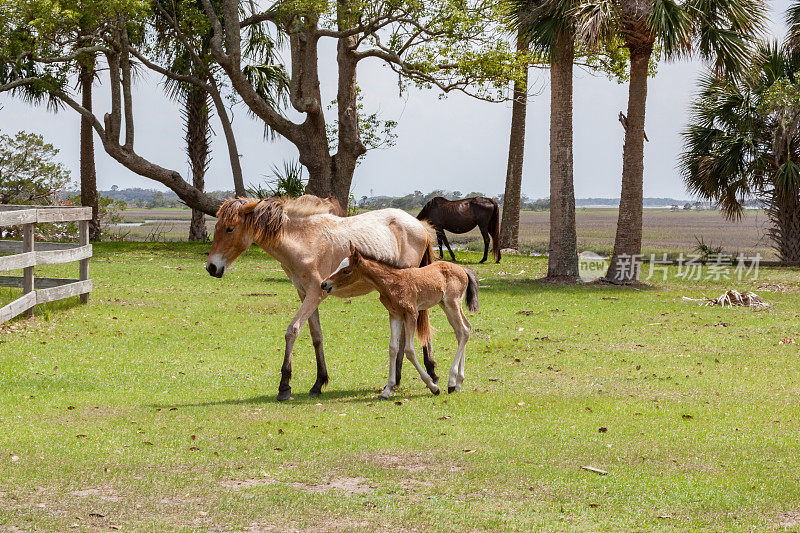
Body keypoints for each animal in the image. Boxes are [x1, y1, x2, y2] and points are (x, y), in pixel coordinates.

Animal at [203, 194, 434, 400]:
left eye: (230, 228)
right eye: (216, 227)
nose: (211, 267)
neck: (304, 241)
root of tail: (419, 225)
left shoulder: (316, 293)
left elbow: (293, 330)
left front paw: (284, 386)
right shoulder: (305, 294)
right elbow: (316, 336)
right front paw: (319, 382)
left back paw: (425, 374)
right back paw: (401, 379)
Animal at [320, 245, 482, 394]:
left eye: (346, 270)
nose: (324, 283)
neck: (391, 283)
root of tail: (462, 269)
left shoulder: (411, 314)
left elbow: (409, 350)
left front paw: (432, 386)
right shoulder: (395, 315)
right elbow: (393, 348)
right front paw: (387, 389)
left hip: (452, 303)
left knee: (464, 331)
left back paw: (452, 382)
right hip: (445, 305)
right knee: (463, 330)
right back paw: (458, 383)